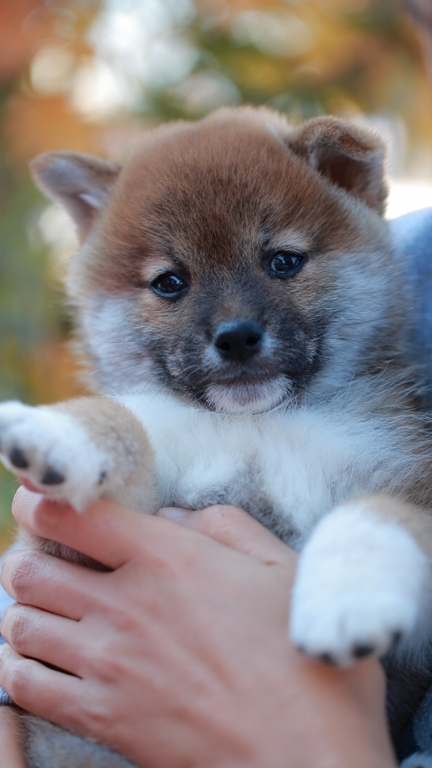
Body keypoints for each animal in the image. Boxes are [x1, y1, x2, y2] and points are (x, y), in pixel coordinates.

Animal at [0, 106, 432, 760]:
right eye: (169, 282)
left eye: (283, 260)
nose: (236, 336)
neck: (258, 426)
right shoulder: (90, 545)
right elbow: (128, 423)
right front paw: (61, 432)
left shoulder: (398, 470)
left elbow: (378, 512)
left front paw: (348, 595)